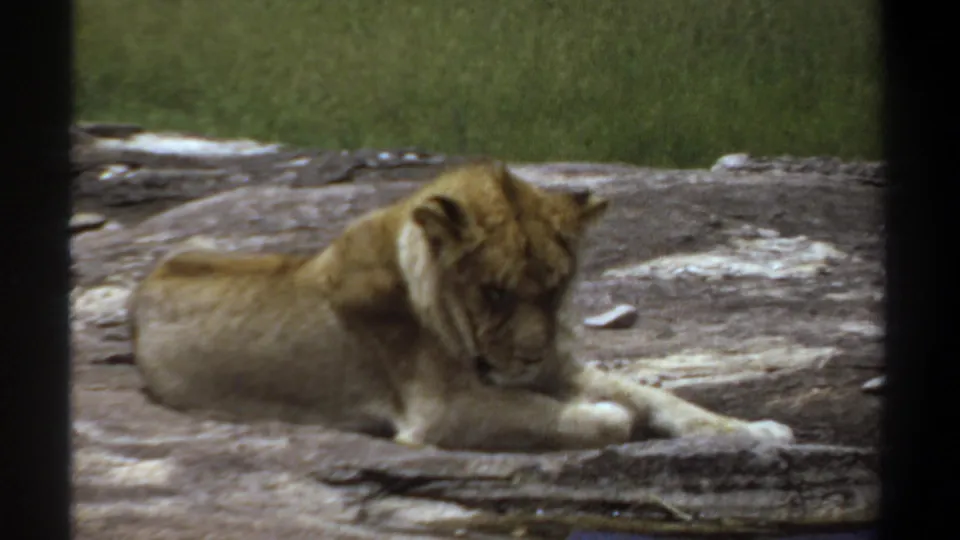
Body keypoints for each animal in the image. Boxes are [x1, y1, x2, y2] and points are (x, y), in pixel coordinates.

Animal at [130, 160, 793, 452]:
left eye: (555, 288)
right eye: (494, 292)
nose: (529, 357)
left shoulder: (554, 366)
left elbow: (661, 397)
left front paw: (757, 430)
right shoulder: (440, 412)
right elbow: (563, 412)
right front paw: (607, 415)